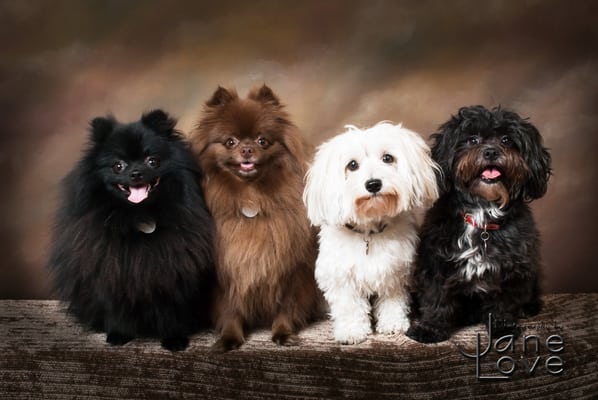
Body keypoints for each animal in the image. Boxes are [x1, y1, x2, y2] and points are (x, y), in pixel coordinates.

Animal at [48, 109, 216, 350]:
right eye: (118, 165)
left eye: (152, 161)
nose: (136, 173)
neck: (140, 216)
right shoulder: (113, 272)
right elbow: (116, 309)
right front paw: (119, 335)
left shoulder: (173, 274)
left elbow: (173, 312)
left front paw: (175, 339)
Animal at [191, 83, 324, 350]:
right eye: (230, 141)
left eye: (263, 141)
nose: (247, 149)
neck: (250, 198)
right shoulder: (226, 272)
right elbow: (229, 309)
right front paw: (230, 338)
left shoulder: (291, 270)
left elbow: (286, 307)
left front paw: (283, 333)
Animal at [304, 122, 440, 344]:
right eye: (352, 165)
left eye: (387, 158)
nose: (373, 184)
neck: (368, 232)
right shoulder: (341, 277)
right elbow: (349, 306)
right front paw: (352, 330)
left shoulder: (395, 272)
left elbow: (393, 300)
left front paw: (393, 323)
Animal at [408, 105, 552, 344]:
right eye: (472, 139)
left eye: (506, 140)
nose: (491, 152)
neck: (482, 212)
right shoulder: (435, 262)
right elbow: (436, 298)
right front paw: (430, 328)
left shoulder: (510, 268)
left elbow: (503, 303)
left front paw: (503, 328)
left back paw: (527, 307)